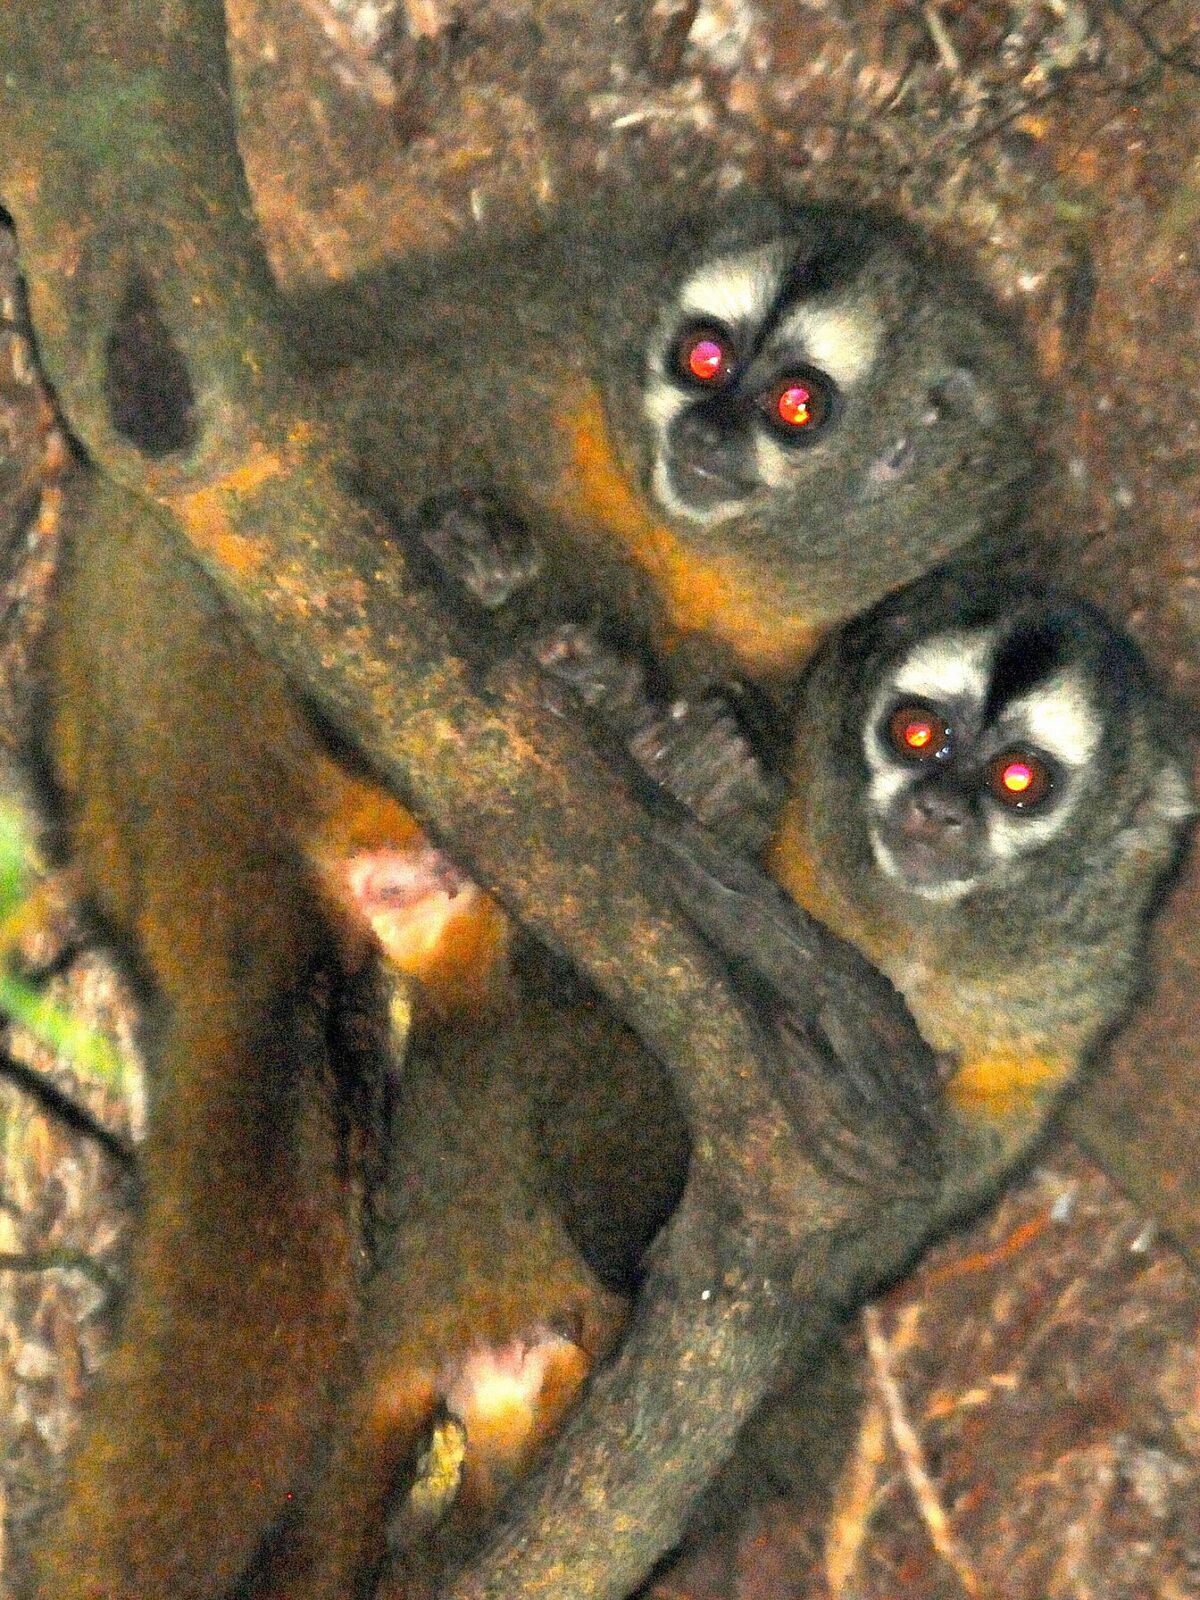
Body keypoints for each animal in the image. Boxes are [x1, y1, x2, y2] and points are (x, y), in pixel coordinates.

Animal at [13, 184, 1034, 1600]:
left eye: (796, 405)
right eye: (702, 357)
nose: (706, 432)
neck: (715, 551)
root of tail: (167, 861)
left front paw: (712, 754)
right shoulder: (522, 358)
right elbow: (327, 423)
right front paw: (484, 557)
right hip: (181, 656)